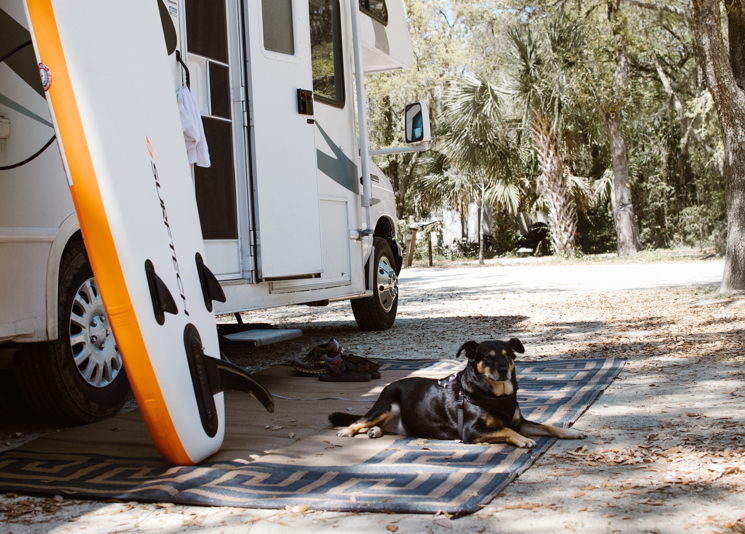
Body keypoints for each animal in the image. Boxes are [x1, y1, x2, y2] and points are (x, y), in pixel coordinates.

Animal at [328, 340, 584, 448]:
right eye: (487, 357)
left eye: (508, 355)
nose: (503, 370)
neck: (497, 395)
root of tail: (389, 386)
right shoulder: (471, 431)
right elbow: (506, 430)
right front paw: (522, 440)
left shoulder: (520, 422)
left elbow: (548, 426)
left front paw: (571, 431)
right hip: (385, 406)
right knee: (359, 421)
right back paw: (349, 431)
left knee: (380, 425)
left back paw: (375, 431)